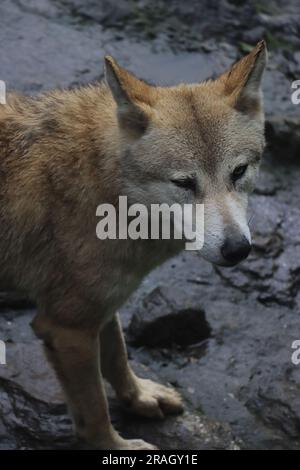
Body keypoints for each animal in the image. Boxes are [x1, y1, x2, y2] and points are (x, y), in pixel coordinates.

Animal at [0, 40, 268, 448]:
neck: (103, 187)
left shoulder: (102, 306)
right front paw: (117, 446)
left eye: (238, 172)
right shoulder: (65, 327)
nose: (237, 249)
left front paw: (141, 398)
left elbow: (118, 359)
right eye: (184, 183)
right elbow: (94, 411)